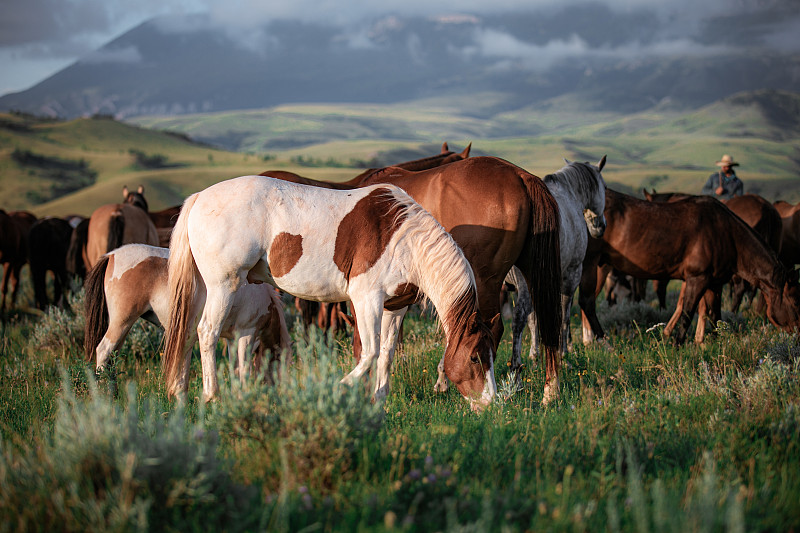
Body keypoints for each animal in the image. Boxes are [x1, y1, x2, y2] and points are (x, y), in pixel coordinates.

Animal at [83, 243, 290, 376]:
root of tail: (112, 255)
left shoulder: (231, 339)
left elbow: (235, 370)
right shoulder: (246, 334)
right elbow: (244, 370)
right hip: (121, 322)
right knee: (103, 351)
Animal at [163, 177, 500, 410]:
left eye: (492, 354)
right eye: (474, 357)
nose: (491, 403)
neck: (405, 239)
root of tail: (199, 198)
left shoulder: (395, 307)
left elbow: (386, 353)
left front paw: (378, 401)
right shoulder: (366, 299)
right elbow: (370, 351)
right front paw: (341, 388)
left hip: (203, 288)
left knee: (187, 333)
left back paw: (180, 392)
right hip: (223, 285)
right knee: (207, 332)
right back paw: (211, 396)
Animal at [494, 156, 608, 368]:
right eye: (604, 186)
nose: (600, 227)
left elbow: (534, 320)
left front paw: (535, 355)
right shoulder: (570, 276)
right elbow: (563, 317)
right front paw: (563, 354)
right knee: (518, 320)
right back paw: (515, 367)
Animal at [580, 191, 800, 344]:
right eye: (795, 302)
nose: (797, 333)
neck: (727, 234)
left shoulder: (714, 283)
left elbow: (713, 315)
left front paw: (709, 344)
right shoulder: (697, 278)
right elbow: (687, 313)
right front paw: (677, 344)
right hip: (592, 265)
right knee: (587, 303)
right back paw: (600, 341)